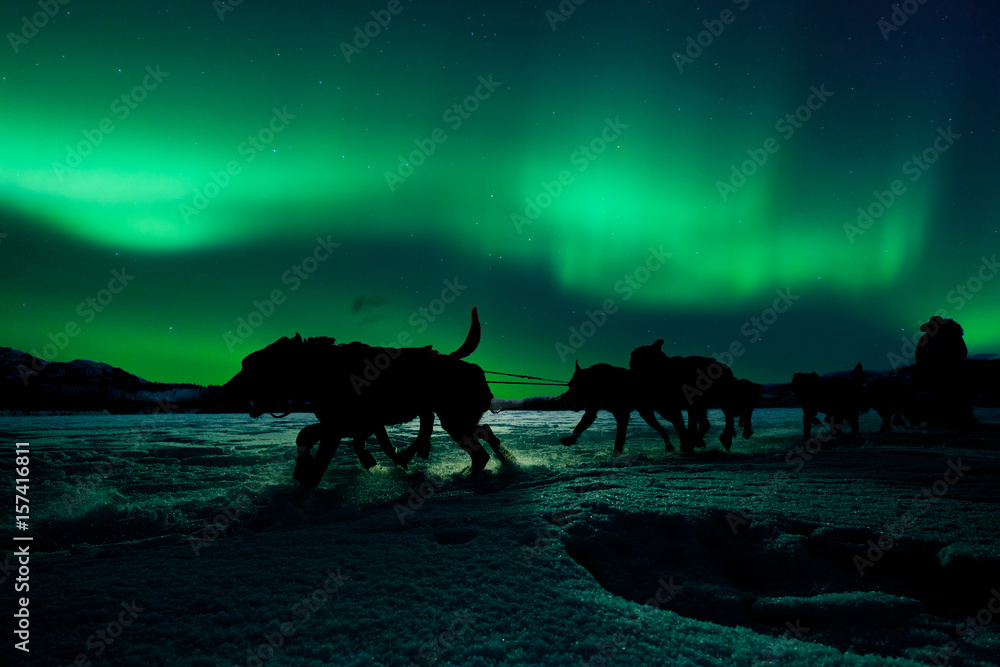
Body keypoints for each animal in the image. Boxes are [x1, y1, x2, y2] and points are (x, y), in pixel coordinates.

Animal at [225, 308, 508, 486]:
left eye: (248, 366)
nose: (226, 389)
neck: (322, 369)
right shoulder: (347, 424)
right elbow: (309, 436)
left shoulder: (340, 426)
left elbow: (316, 459)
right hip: (456, 420)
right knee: (482, 433)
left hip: (453, 422)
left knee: (478, 453)